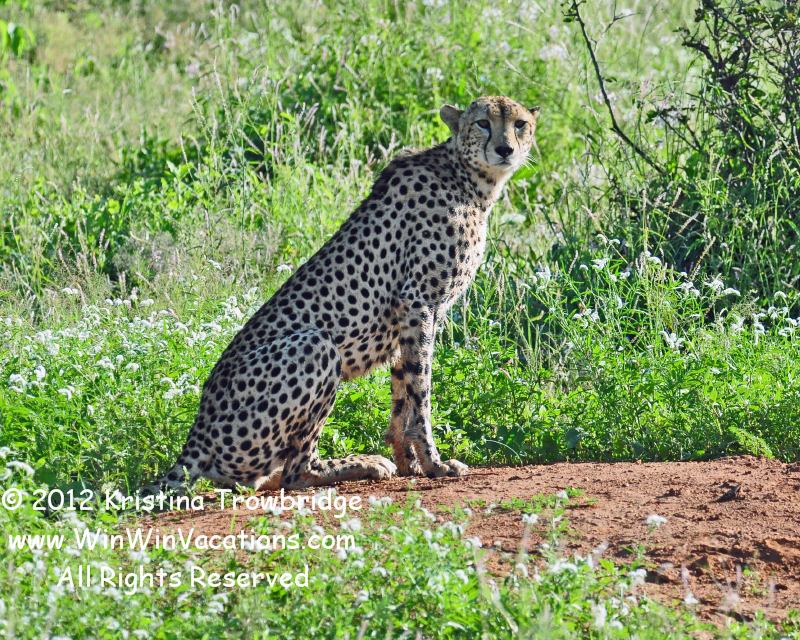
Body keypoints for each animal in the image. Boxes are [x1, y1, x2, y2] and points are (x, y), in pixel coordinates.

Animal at [143, 95, 540, 494]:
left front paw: (409, 461)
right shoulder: (417, 302)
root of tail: (196, 434)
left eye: (519, 123)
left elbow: (403, 392)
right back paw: (358, 464)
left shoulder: (410, 317)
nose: (505, 149)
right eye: (482, 123)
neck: (468, 178)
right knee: (296, 471)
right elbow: (422, 392)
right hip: (315, 347)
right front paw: (435, 463)